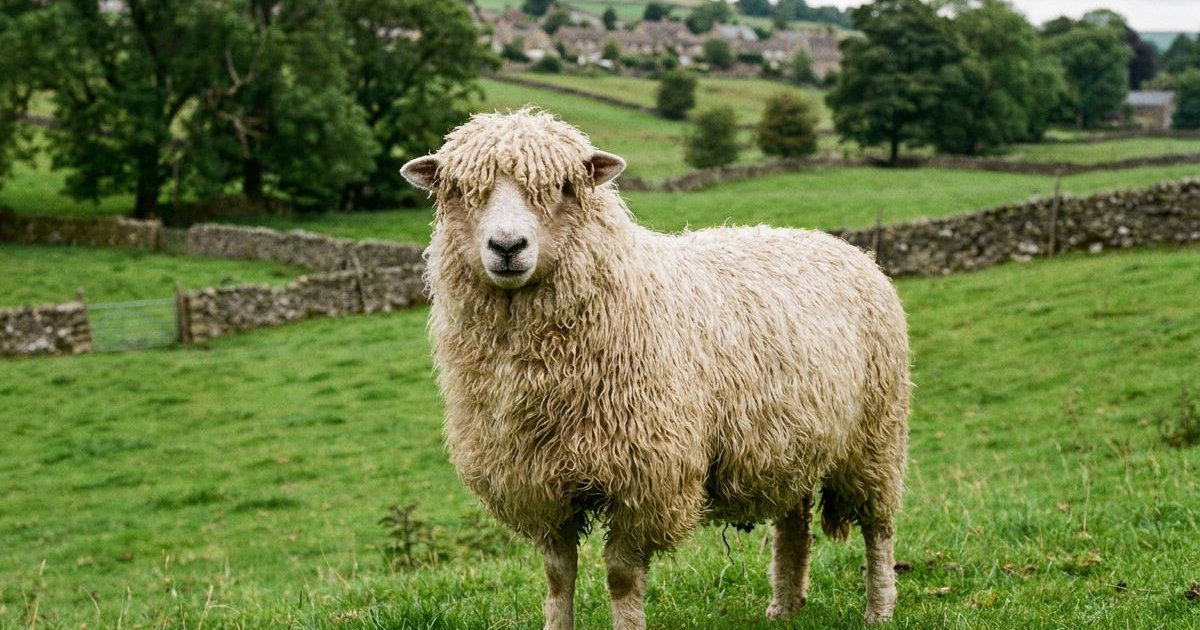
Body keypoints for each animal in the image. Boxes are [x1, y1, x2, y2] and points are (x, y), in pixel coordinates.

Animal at [401, 109, 910, 630]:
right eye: (460, 189)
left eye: (563, 187)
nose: (507, 246)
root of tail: (842, 245)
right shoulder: (540, 483)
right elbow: (557, 575)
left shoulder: (645, 478)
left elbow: (622, 577)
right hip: (790, 445)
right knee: (793, 523)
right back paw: (784, 606)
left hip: (876, 434)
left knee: (879, 526)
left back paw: (879, 607)